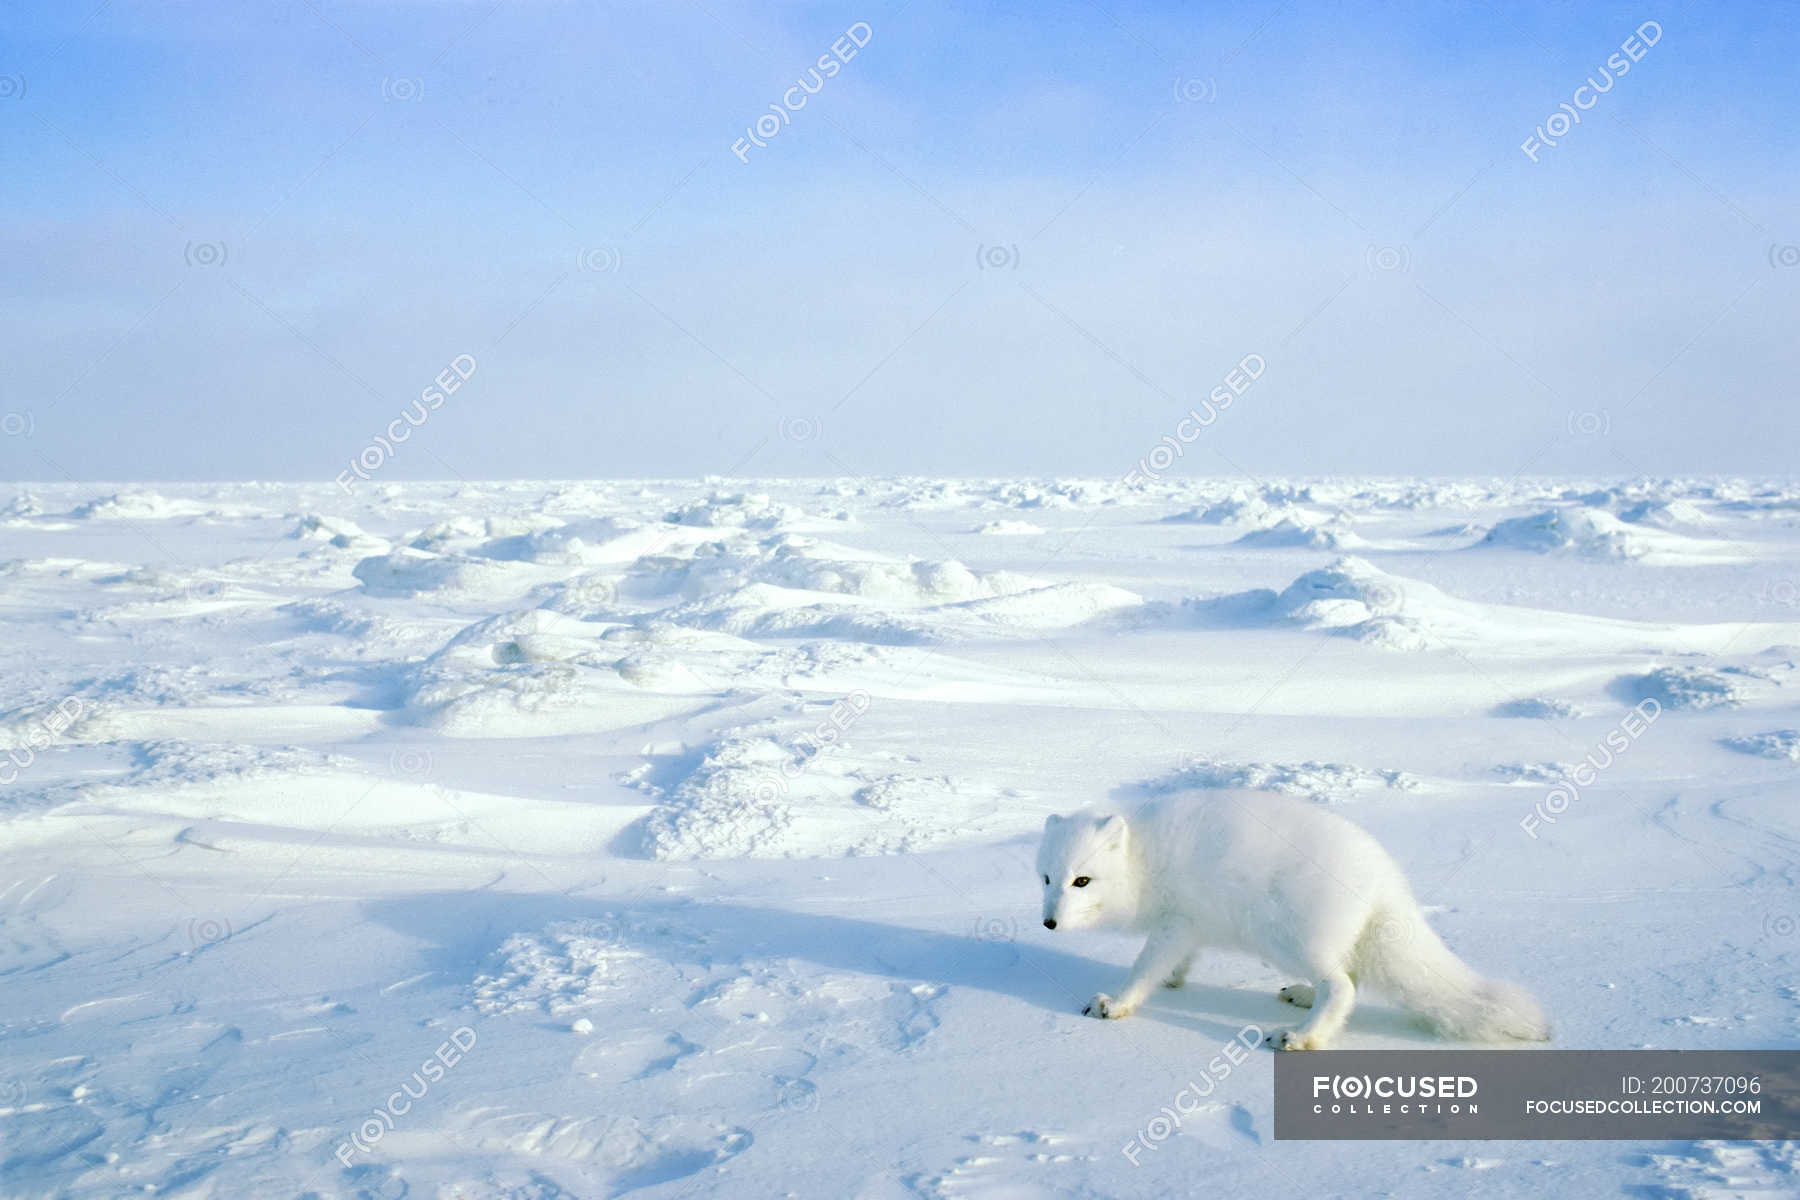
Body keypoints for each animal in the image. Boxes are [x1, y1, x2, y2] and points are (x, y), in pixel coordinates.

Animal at [1044, 788, 1548, 1050]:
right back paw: (1305, 999)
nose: (1048, 924)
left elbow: (1143, 966)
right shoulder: (1191, 926)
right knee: (1350, 977)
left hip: (1293, 939)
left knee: (1343, 987)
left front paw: (1115, 1004)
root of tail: (1384, 875)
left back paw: (1303, 1037)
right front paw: (1174, 980)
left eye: (1082, 881)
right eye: (1047, 878)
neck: (1144, 860)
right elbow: (1177, 961)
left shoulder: (1177, 921)